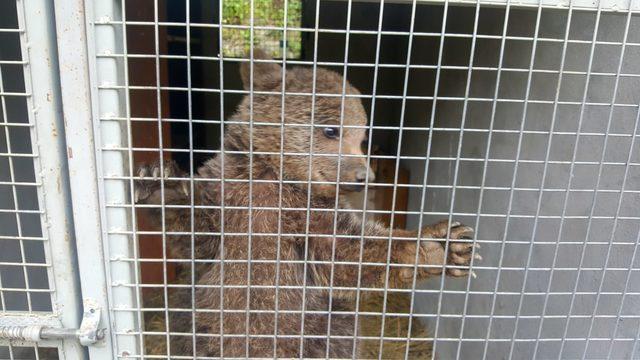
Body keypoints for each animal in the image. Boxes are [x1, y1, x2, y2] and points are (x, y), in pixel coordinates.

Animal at [136, 52, 480, 358]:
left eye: (362, 138)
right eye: (331, 130)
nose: (364, 176)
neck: (276, 177)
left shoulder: (312, 218)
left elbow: (348, 255)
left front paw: (442, 245)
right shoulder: (229, 197)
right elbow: (196, 232)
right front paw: (161, 183)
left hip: (321, 324)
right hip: (200, 323)